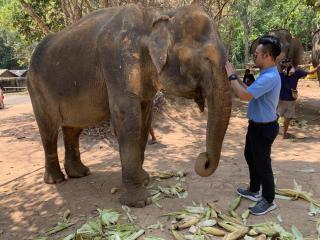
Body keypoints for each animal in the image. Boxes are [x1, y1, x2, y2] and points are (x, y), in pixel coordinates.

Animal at [27, 2, 231, 207]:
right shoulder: (117, 59)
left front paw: (145, 180)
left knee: (73, 129)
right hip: (36, 89)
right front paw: (139, 202)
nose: (203, 159)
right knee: (49, 130)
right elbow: (128, 117)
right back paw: (56, 180)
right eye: (207, 58)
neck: (157, 16)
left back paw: (80, 173)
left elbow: (145, 117)